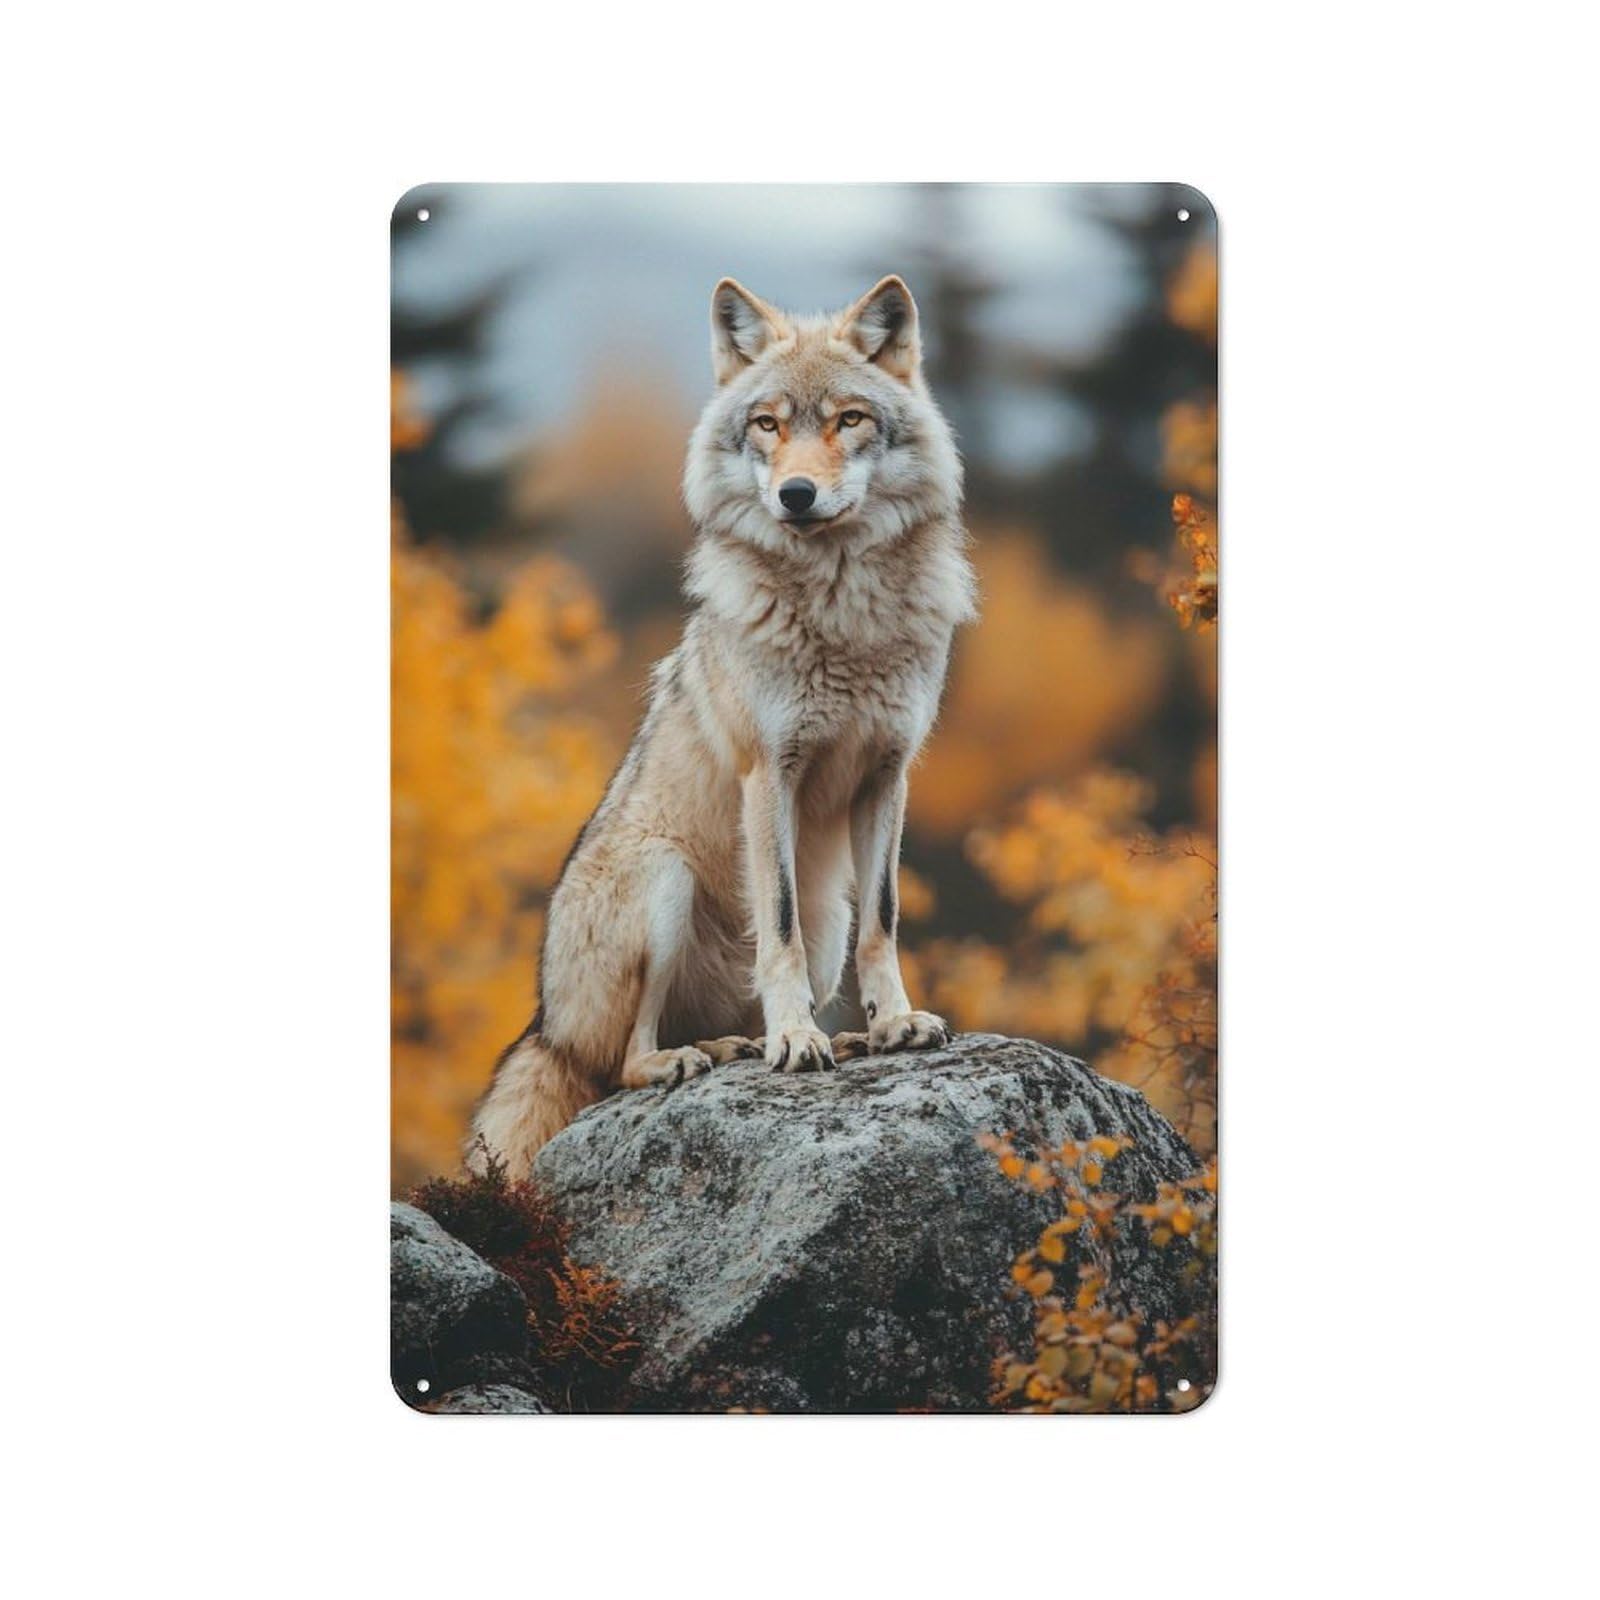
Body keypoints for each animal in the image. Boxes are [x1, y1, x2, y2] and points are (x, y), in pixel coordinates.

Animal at [467, 274, 977, 1173]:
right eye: (768, 424)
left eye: (849, 419)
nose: (796, 495)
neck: (841, 610)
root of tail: (543, 1025)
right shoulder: (768, 773)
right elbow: (775, 931)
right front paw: (798, 1041)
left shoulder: (889, 775)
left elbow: (883, 926)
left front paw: (891, 1023)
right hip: (663, 880)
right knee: (625, 1063)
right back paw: (695, 1057)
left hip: (829, 912)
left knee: (754, 1005)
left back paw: (777, 1043)